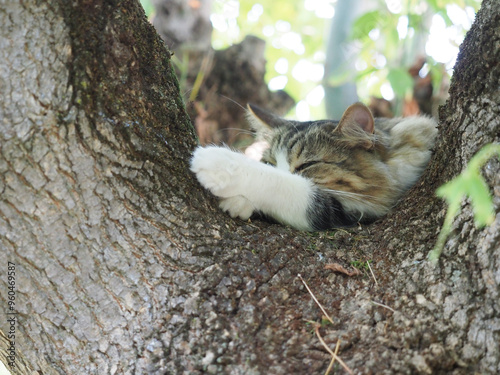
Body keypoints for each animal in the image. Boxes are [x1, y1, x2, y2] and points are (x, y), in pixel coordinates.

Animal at [189, 103, 436, 232]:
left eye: (306, 165)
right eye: (270, 162)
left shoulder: (358, 211)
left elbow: (292, 189)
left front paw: (218, 162)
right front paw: (240, 202)